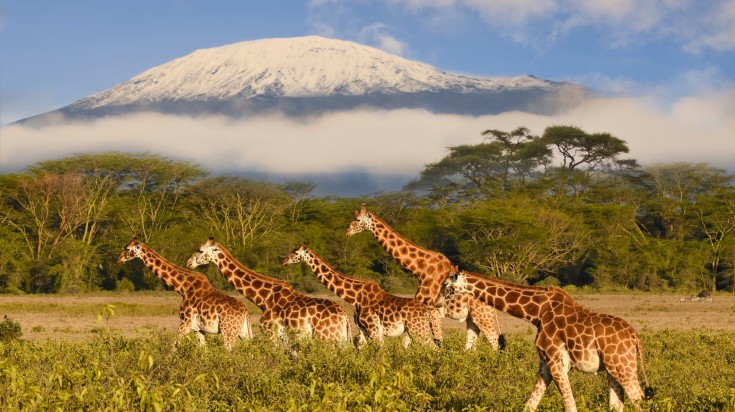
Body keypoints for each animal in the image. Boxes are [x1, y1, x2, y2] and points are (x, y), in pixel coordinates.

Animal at [115, 238, 253, 350]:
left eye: (127, 248)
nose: (118, 259)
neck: (183, 288)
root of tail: (245, 313)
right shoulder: (198, 329)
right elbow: (203, 351)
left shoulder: (185, 323)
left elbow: (173, 348)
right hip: (244, 333)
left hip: (228, 332)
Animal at [187, 237, 354, 342]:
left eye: (200, 250)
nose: (189, 263)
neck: (263, 298)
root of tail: (345, 316)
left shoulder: (270, 333)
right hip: (341, 339)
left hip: (326, 337)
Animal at [284, 243, 440, 350]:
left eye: (295, 252)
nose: (284, 261)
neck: (355, 297)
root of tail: (427, 312)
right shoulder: (364, 330)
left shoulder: (374, 329)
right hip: (413, 331)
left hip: (418, 330)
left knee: (434, 348)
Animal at [348, 204, 504, 350]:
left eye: (357, 219)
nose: (347, 232)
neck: (420, 269)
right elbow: (410, 342)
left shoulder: (430, 311)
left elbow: (429, 341)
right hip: (473, 318)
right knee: (474, 342)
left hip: (483, 316)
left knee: (494, 340)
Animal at [442, 270, 656, 412]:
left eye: (446, 285)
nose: (437, 301)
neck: (536, 313)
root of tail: (634, 336)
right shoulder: (545, 363)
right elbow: (530, 404)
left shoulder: (556, 362)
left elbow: (570, 406)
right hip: (613, 368)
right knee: (617, 405)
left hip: (623, 366)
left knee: (638, 399)